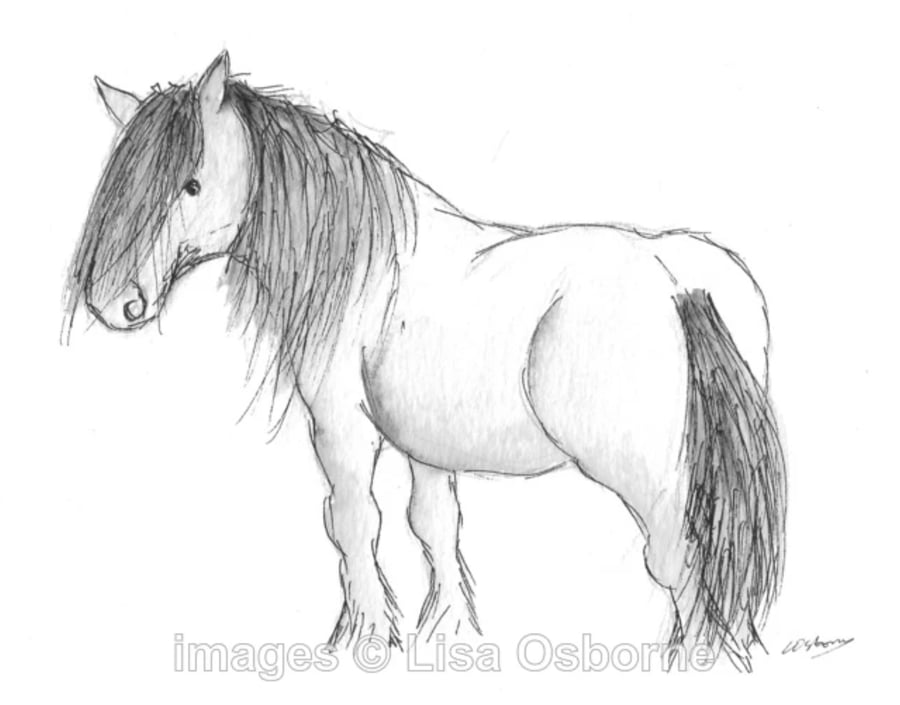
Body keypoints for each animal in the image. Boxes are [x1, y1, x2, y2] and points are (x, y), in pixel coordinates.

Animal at [64, 52, 786, 671]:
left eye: (190, 183)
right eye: (118, 184)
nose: (114, 300)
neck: (367, 264)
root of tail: (681, 280)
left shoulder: (342, 427)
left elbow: (354, 521)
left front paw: (363, 640)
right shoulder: (428, 446)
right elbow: (434, 528)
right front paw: (446, 637)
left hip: (652, 479)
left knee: (682, 561)